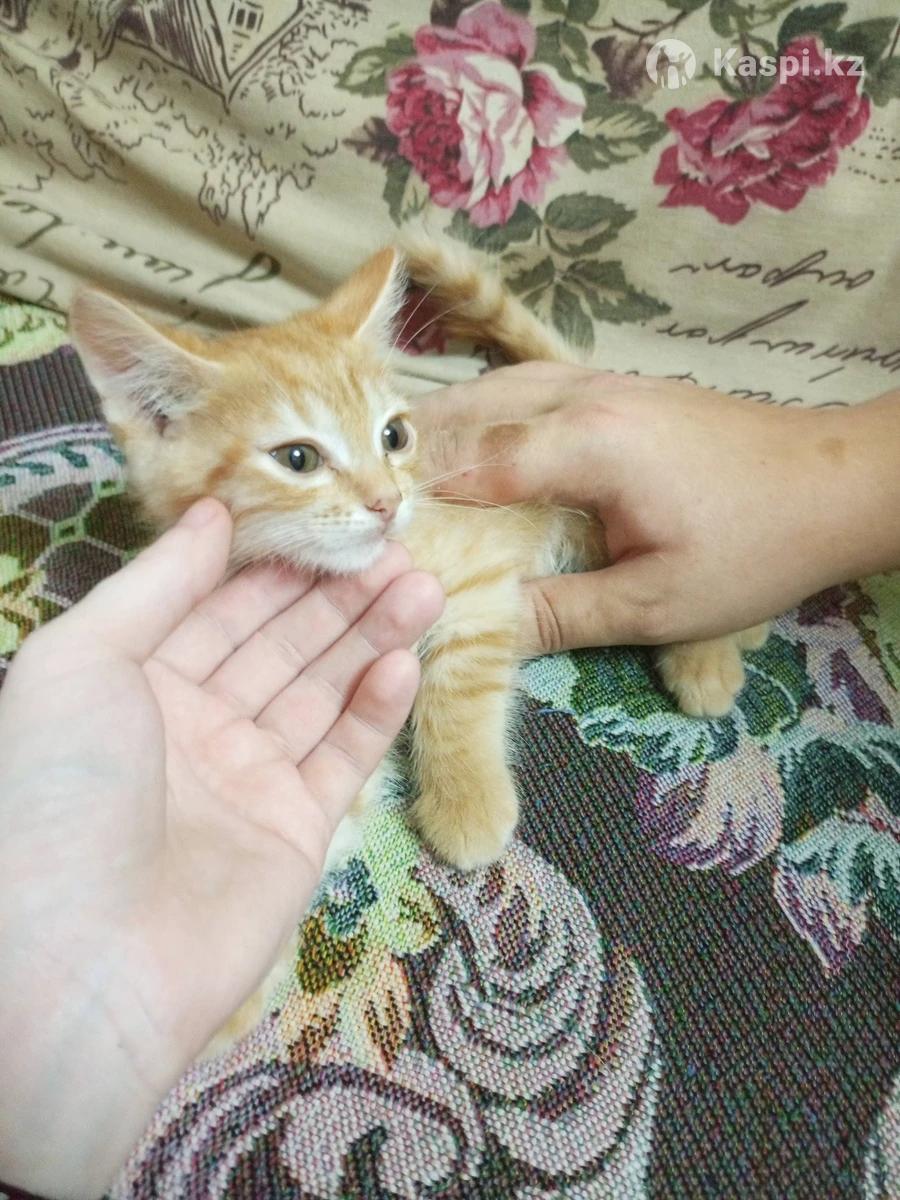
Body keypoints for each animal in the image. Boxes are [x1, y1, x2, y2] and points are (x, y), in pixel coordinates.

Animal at [69, 235, 767, 1053]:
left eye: (394, 436)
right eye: (298, 458)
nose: (387, 501)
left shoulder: (476, 583)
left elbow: (456, 693)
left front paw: (467, 801)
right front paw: (226, 975)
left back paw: (714, 650)